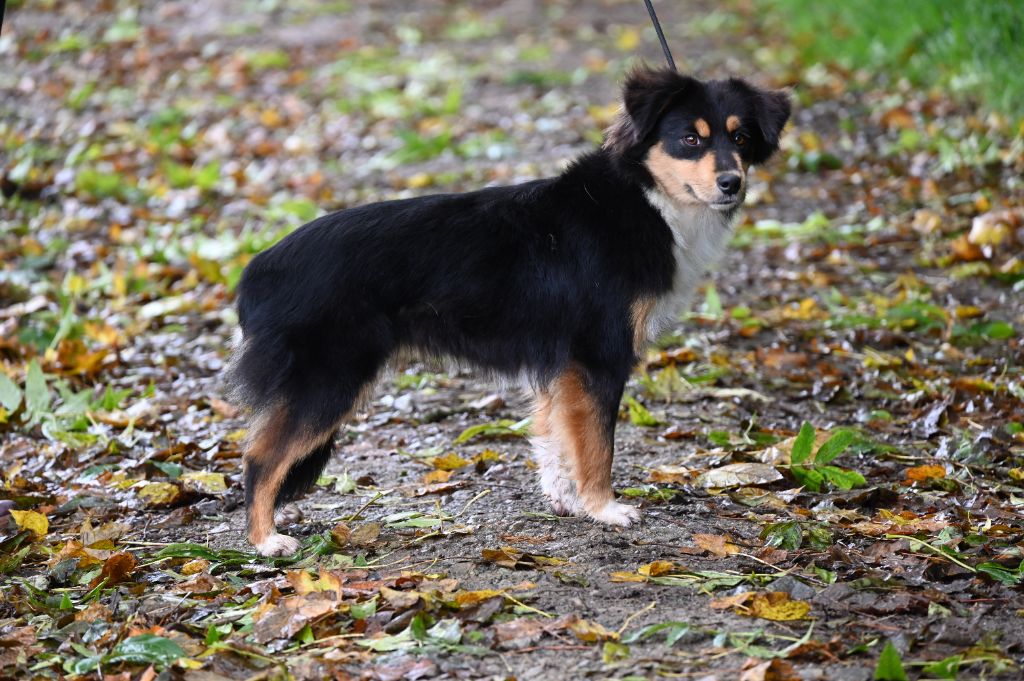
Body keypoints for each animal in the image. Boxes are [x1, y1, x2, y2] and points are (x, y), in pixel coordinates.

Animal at [228, 67, 790, 557]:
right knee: (259, 457)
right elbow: (598, 446)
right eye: (689, 140)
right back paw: (265, 541)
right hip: (330, 380)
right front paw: (604, 508)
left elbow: (558, 438)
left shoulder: (561, 368)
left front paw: (566, 500)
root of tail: (257, 269)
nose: (731, 183)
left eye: (741, 139)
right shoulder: (599, 358)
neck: (645, 197)